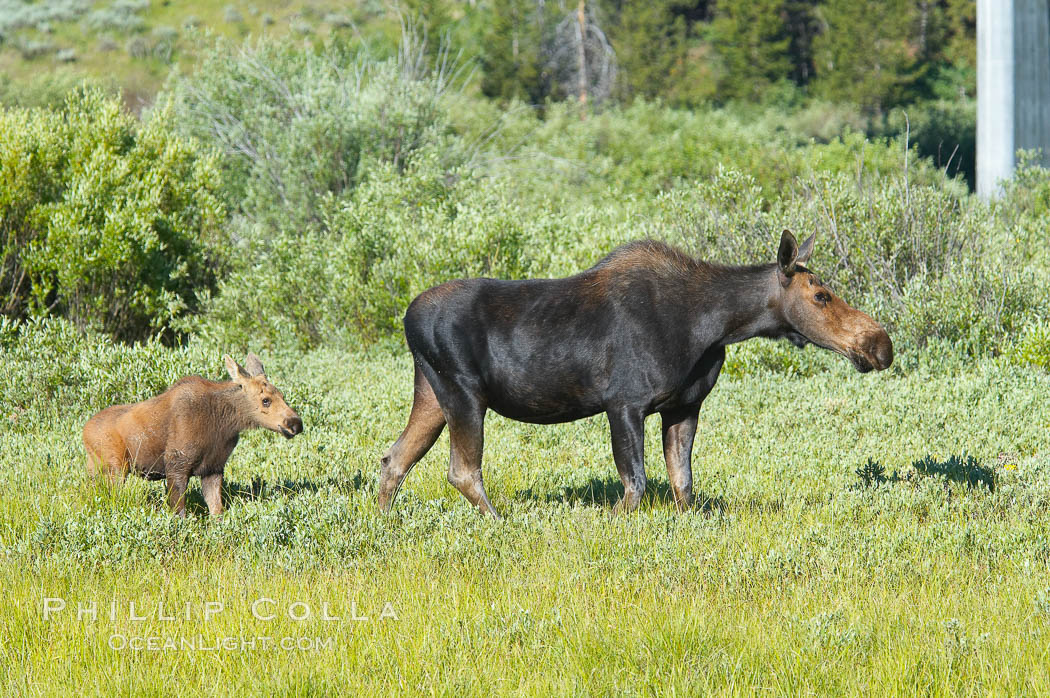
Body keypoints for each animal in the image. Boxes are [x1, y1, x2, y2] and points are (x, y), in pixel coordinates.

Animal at [82, 356, 300, 514]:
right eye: (265, 400)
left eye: (282, 395)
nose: (296, 424)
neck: (224, 424)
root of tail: (84, 432)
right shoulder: (176, 464)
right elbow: (179, 512)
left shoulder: (213, 468)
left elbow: (217, 511)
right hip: (115, 469)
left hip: (96, 470)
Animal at [377, 230, 886, 520]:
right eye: (821, 295)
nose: (881, 344)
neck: (717, 326)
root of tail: (406, 316)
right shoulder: (624, 402)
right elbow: (636, 486)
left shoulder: (684, 406)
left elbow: (683, 485)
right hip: (463, 392)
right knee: (462, 471)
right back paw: (501, 523)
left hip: (433, 392)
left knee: (394, 459)